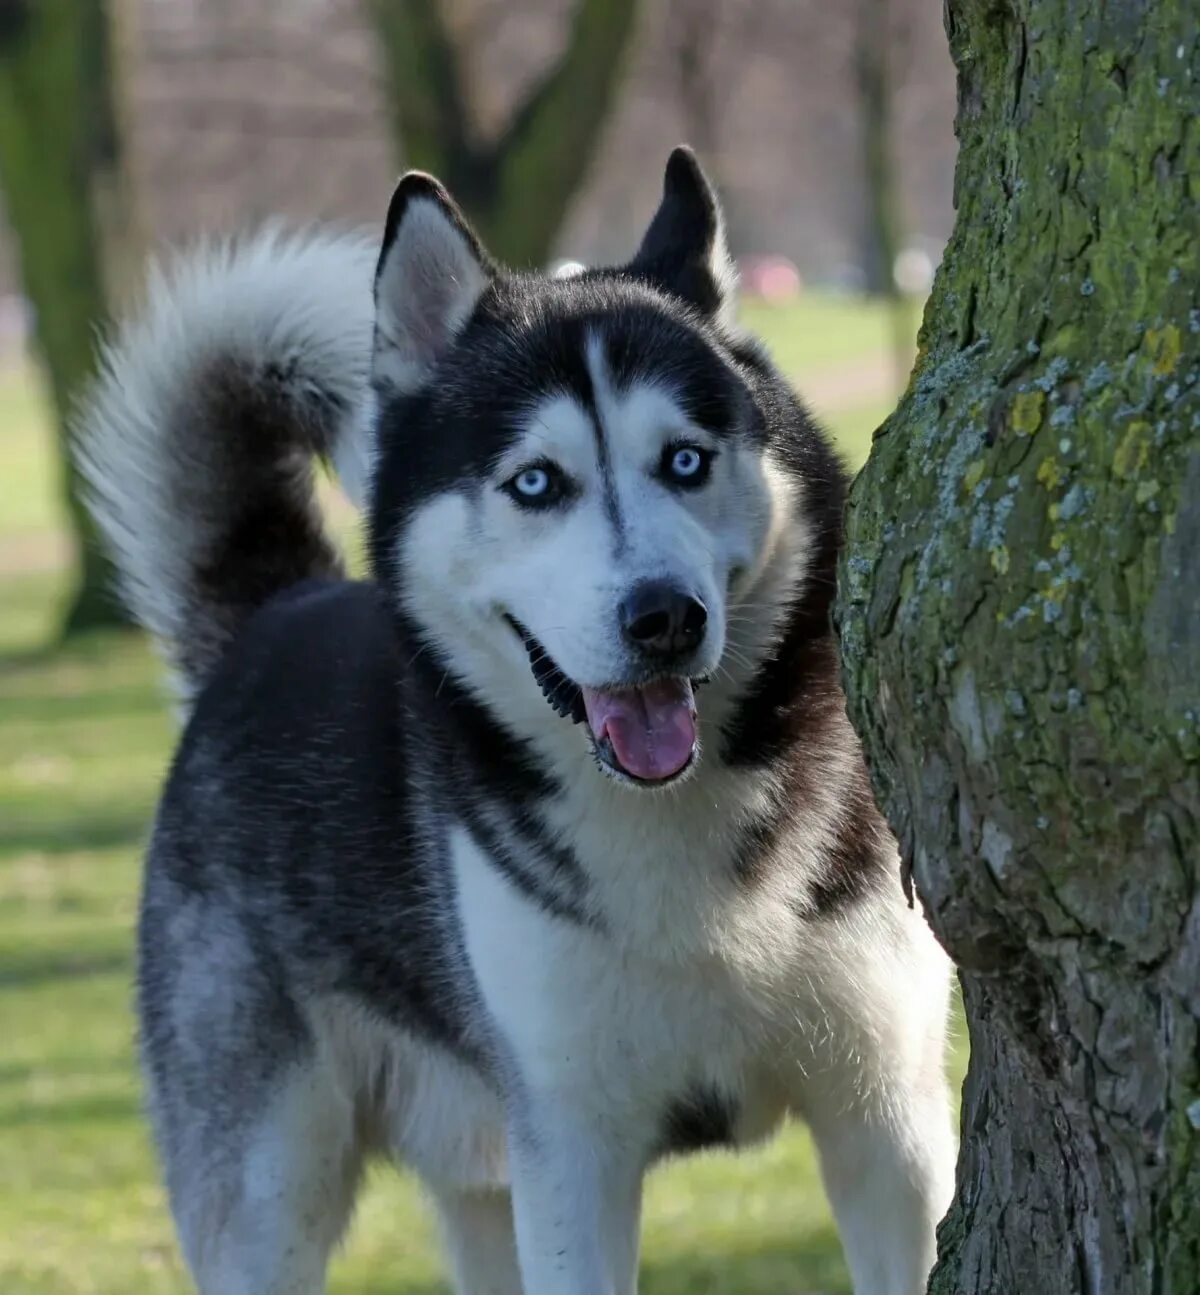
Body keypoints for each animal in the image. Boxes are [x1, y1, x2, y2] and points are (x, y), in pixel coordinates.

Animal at [75, 146, 957, 1289]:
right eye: (537, 482)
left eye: (686, 458)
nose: (664, 617)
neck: (671, 830)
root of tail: (276, 612)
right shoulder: (572, 1151)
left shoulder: (885, 1119)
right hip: (270, 1189)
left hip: (476, 1159)